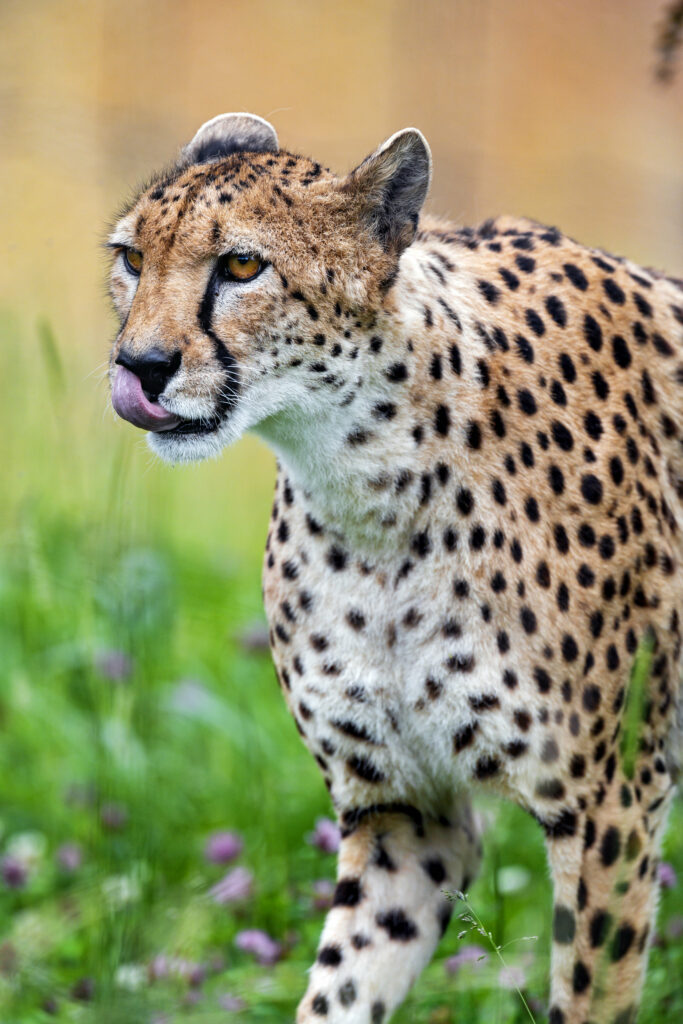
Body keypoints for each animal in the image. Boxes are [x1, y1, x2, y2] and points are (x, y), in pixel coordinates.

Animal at [106, 112, 683, 1024]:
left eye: (242, 266)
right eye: (132, 258)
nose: (141, 367)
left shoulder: (610, 802)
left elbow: (590, 993)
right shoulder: (406, 811)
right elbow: (339, 987)